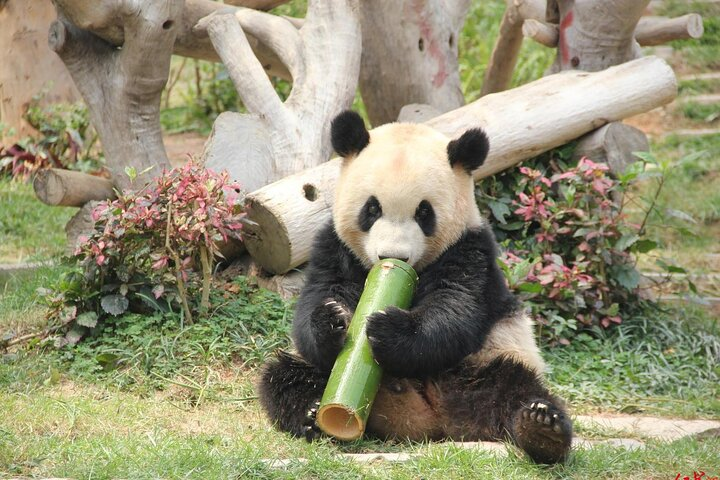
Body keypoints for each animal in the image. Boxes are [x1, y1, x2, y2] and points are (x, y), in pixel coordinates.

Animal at [258, 111, 573, 464]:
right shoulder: (333, 246)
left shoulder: (470, 248)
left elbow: (456, 307)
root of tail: (427, 420)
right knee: (282, 378)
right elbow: (318, 298)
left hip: (488, 362)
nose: (392, 256)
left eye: (424, 212)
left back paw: (541, 428)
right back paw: (311, 415)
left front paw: (388, 328)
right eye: (372, 209)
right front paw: (331, 320)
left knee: (516, 391)